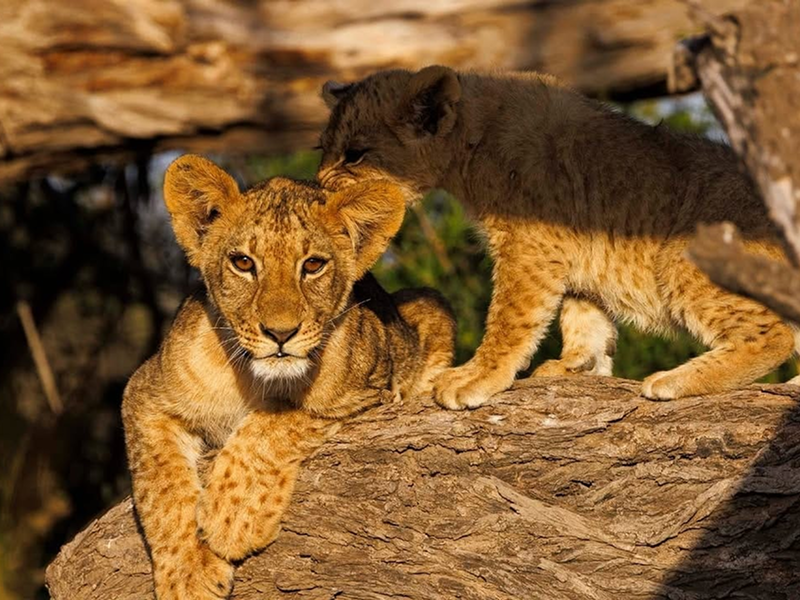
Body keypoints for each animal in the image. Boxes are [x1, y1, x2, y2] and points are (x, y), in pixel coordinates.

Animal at [121, 155, 455, 599]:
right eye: (243, 263)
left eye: (312, 265)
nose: (280, 333)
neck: (252, 378)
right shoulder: (146, 392)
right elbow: (161, 486)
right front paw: (188, 573)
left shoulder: (369, 394)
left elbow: (273, 424)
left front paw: (231, 519)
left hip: (431, 307)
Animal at [316, 65, 798, 409]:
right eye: (324, 149)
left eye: (355, 154)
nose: (321, 189)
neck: (470, 144)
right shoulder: (574, 249)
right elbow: (584, 316)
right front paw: (577, 366)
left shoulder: (528, 247)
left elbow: (510, 319)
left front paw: (476, 377)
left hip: (684, 254)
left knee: (773, 335)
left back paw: (673, 381)